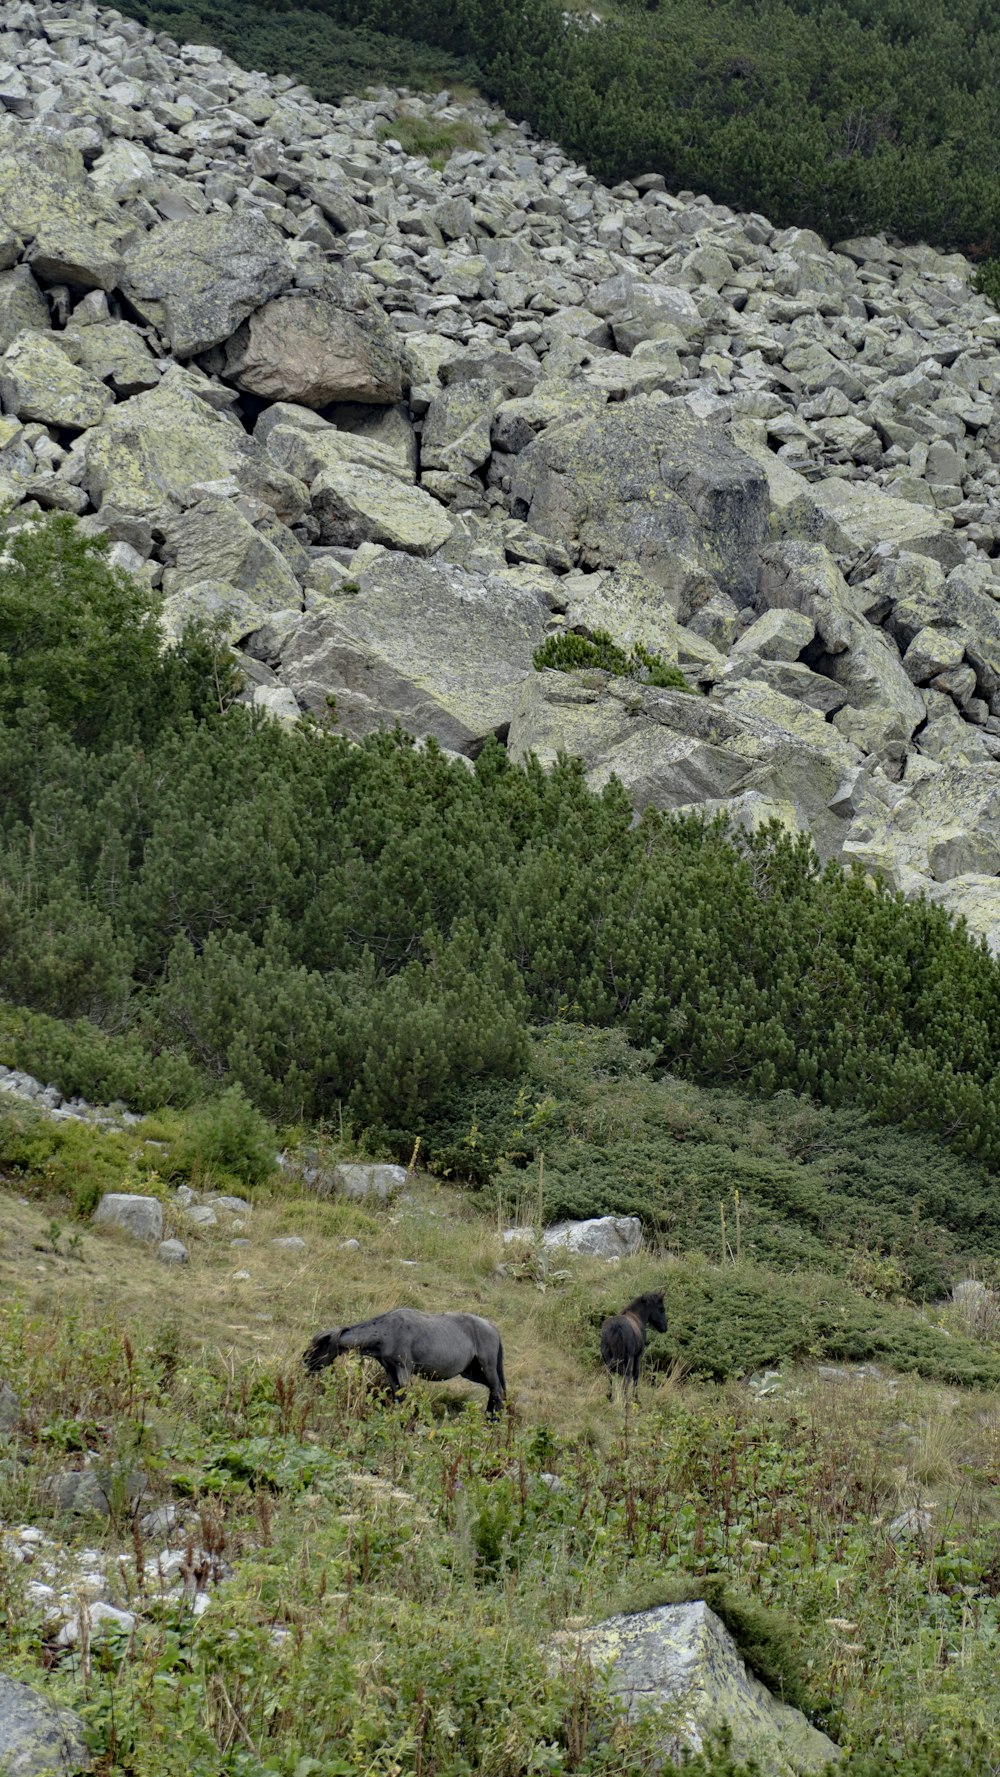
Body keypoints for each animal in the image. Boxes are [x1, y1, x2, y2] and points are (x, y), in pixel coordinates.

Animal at [303, 1307, 507, 1414]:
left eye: (318, 1346)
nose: (305, 1361)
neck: (388, 1331)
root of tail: (493, 1328)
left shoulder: (404, 1369)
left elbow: (406, 1397)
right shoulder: (391, 1371)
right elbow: (398, 1397)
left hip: (487, 1366)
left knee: (497, 1391)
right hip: (471, 1372)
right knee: (494, 1390)